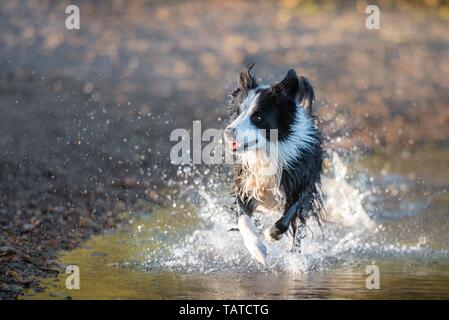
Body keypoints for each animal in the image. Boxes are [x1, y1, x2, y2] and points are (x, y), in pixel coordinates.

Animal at [223, 63, 322, 264]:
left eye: (258, 117)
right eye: (237, 112)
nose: (228, 132)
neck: (265, 153)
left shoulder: (302, 184)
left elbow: (289, 215)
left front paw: (272, 235)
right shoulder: (245, 183)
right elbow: (243, 219)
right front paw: (257, 248)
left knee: (298, 229)